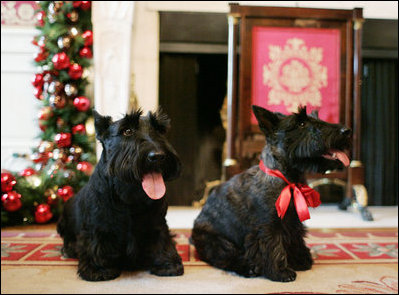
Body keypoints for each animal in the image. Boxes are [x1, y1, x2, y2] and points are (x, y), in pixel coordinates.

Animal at [57, 108, 184, 282]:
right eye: (127, 131)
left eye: (160, 130)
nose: (158, 156)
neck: (130, 197)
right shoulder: (97, 228)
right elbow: (95, 245)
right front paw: (99, 269)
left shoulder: (157, 224)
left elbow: (162, 240)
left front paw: (167, 263)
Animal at [191, 105, 350, 284]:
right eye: (301, 123)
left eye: (317, 117)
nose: (346, 131)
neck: (287, 178)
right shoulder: (268, 226)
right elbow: (274, 247)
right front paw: (281, 271)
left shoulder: (293, 222)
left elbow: (296, 239)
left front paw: (301, 259)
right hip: (218, 243)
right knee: (226, 258)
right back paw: (249, 267)